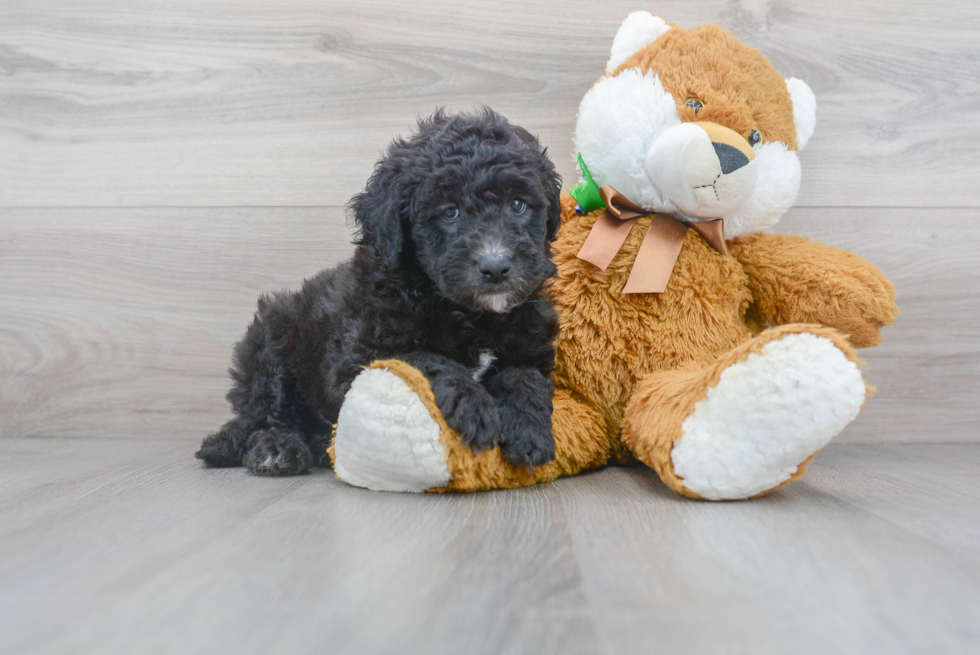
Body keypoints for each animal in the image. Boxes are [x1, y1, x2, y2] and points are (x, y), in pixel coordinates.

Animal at [196, 109, 564, 476]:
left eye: (517, 204)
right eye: (450, 212)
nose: (496, 268)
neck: (470, 314)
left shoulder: (529, 343)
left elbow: (524, 376)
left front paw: (529, 432)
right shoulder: (357, 359)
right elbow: (423, 360)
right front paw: (473, 406)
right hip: (271, 338)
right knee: (265, 417)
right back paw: (277, 449)